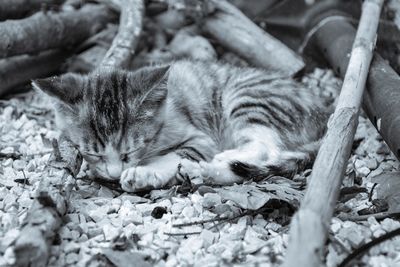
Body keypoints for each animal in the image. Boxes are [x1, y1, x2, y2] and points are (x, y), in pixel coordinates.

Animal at [33, 60, 328, 193]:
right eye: (93, 153)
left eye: (131, 151)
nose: (115, 173)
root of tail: (325, 113)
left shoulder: (200, 138)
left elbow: (174, 154)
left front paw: (143, 172)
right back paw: (203, 172)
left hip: (249, 98)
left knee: (269, 148)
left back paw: (215, 162)